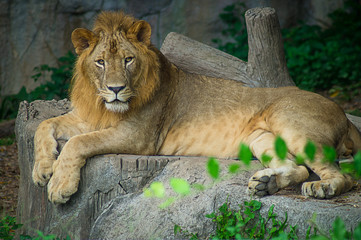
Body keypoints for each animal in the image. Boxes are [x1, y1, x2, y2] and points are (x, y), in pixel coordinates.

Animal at [32, 10, 358, 202]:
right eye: (100, 62)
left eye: (128, 60)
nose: (115, 89)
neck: (103, 106)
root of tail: (345, 114)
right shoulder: (89, 116)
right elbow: (44, 125)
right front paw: (42, 169)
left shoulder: (138, 137)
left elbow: (78, 142)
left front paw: (59, 186)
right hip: (260, 137)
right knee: (297, 167)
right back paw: (266, 185)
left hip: (290, 123)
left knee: (343, 176)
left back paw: (321, 188)